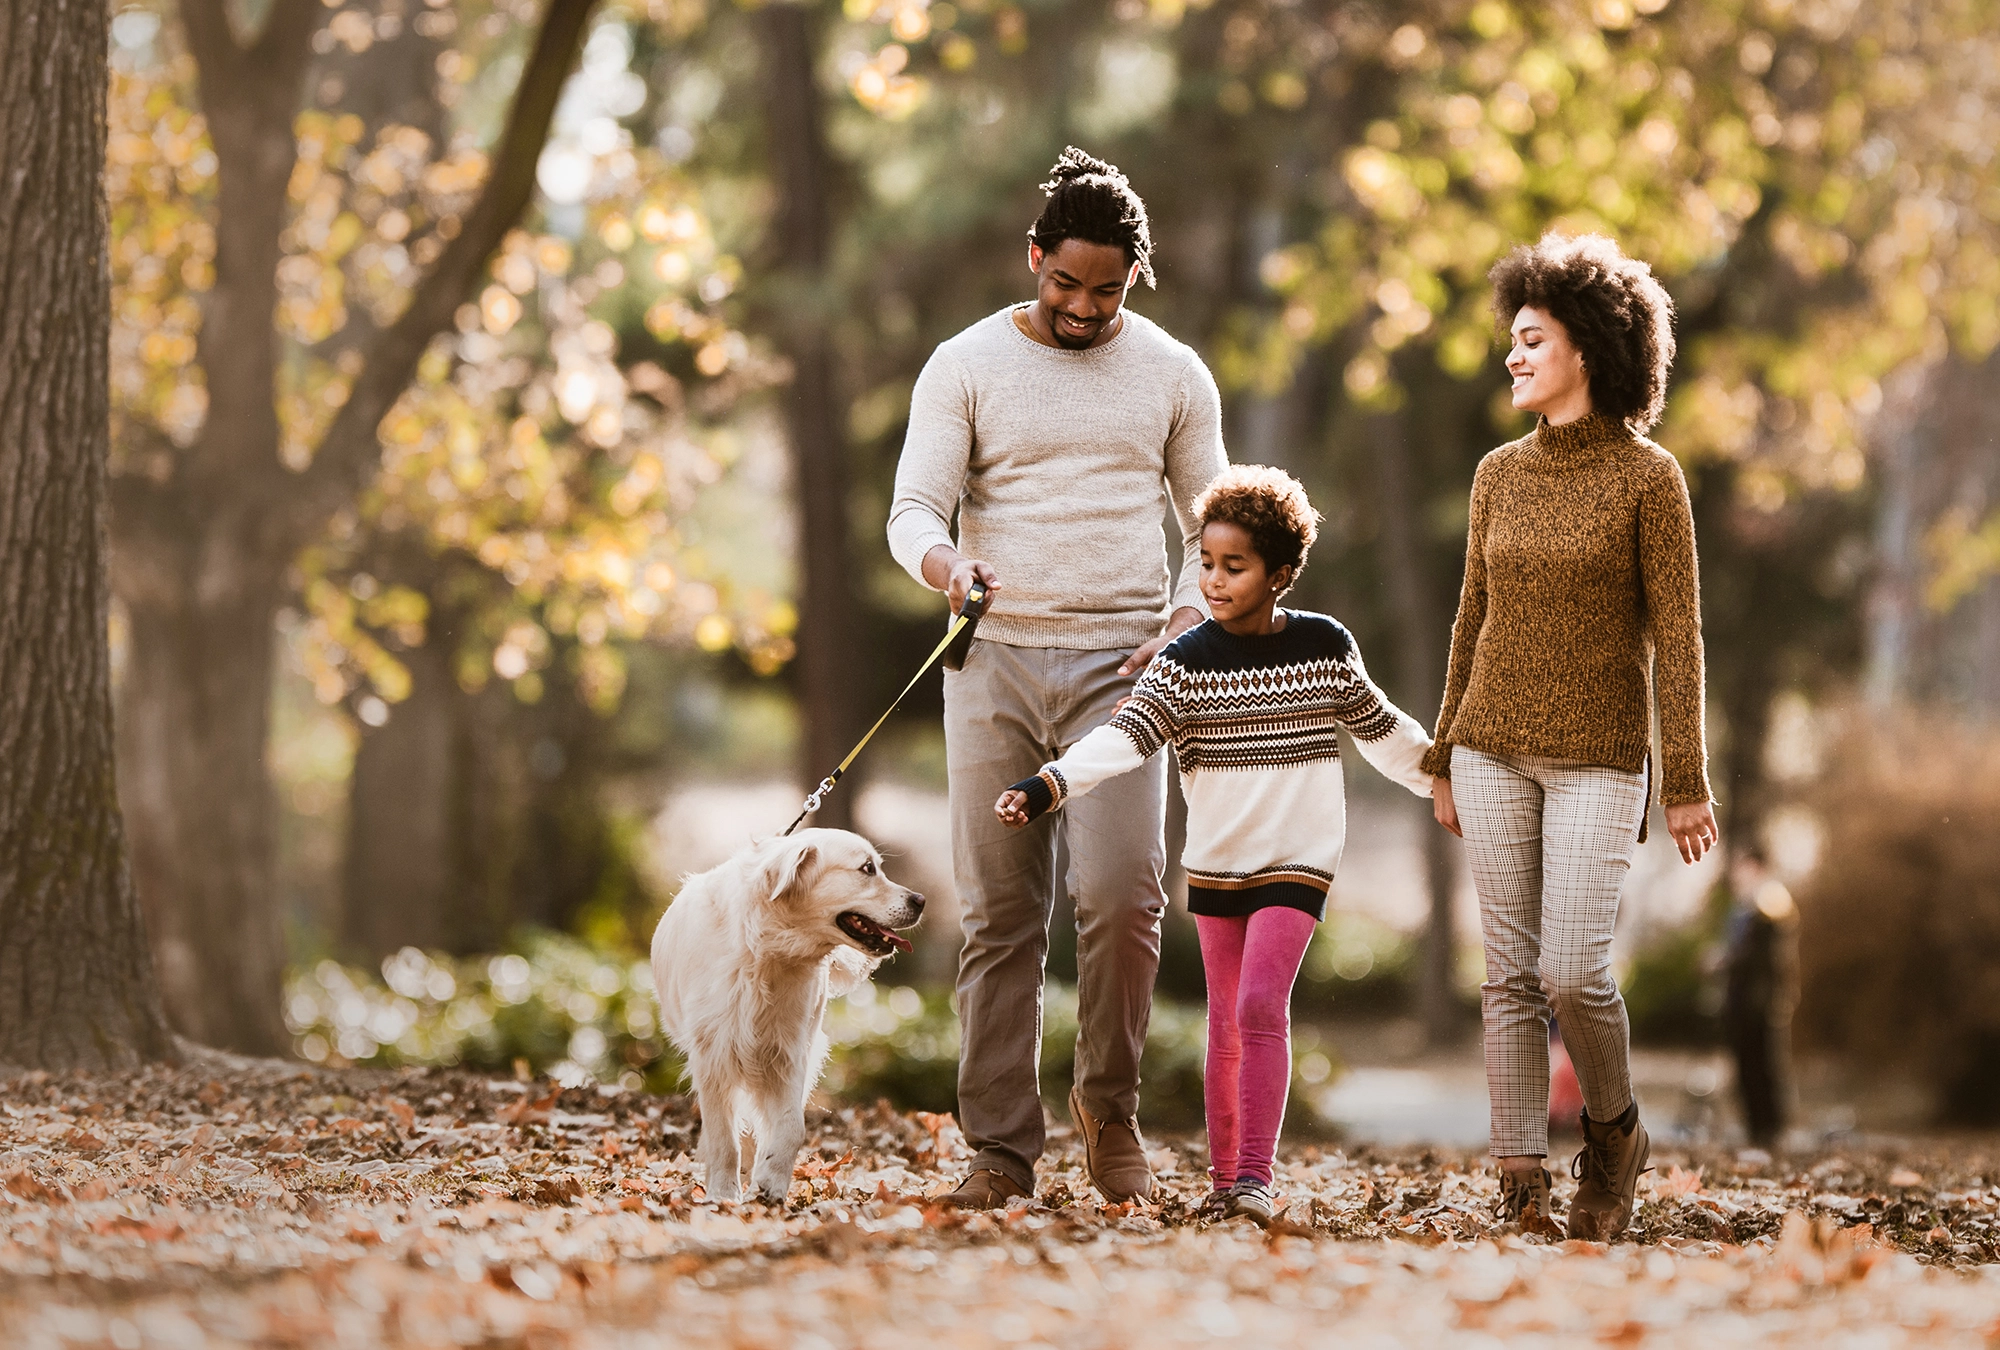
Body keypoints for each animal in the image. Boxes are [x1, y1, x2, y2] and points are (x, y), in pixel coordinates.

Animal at [648, 828, 920, 1208]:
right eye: (867, 868)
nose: (921, 900)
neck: (766, 953)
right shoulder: (713, 1056)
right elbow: (723, 1138)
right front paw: (723, 1193)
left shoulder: (789, 1053)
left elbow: (792, 1127)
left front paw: (772, 1182)